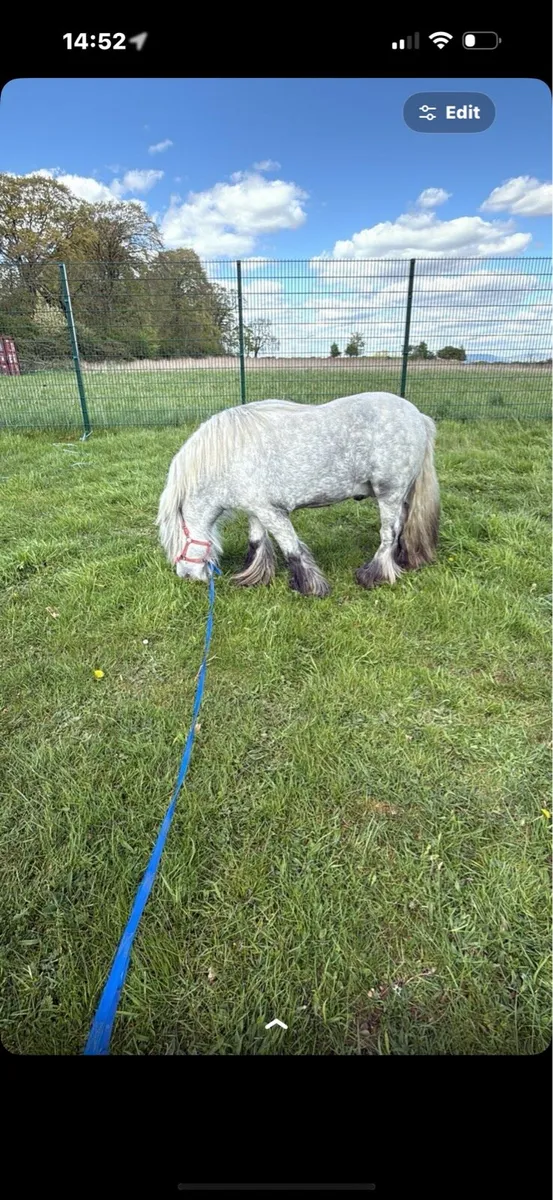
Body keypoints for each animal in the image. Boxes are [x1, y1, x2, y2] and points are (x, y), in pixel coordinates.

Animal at [157, 391, 440, 597]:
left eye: (176, 543)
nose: (187, 576)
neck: (228, 456)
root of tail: (418, 417)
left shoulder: (273, 513)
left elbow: (291, 549)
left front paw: (310, 588)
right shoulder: (257, 510)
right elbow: (257, 542)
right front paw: (252, 577)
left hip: (388, 493)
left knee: (388, 534)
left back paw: (374, 575)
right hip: (401, 496)